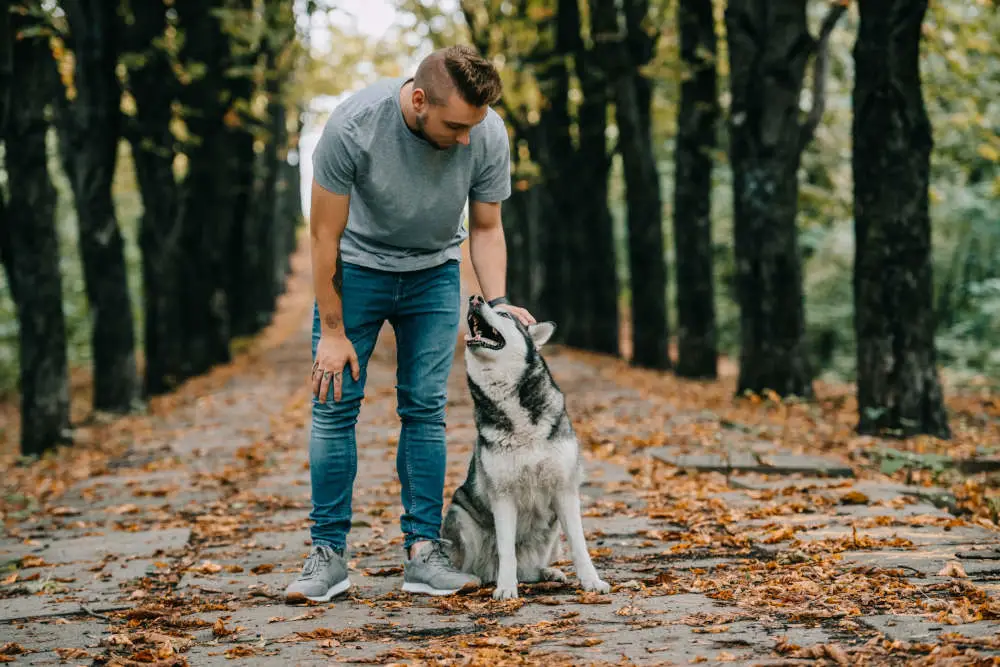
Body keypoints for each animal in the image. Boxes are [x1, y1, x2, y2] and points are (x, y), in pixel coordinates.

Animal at [444, 294, 612, 604]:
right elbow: (506, 551)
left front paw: (592, 581)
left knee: (531, 568)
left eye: (504, 316)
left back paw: (548, 572)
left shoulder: (565, 491)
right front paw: (506, 588)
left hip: (552, 531)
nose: (475, 298)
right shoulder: (503, 495)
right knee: (483, 566)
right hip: (461, 518)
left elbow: (580, 545)